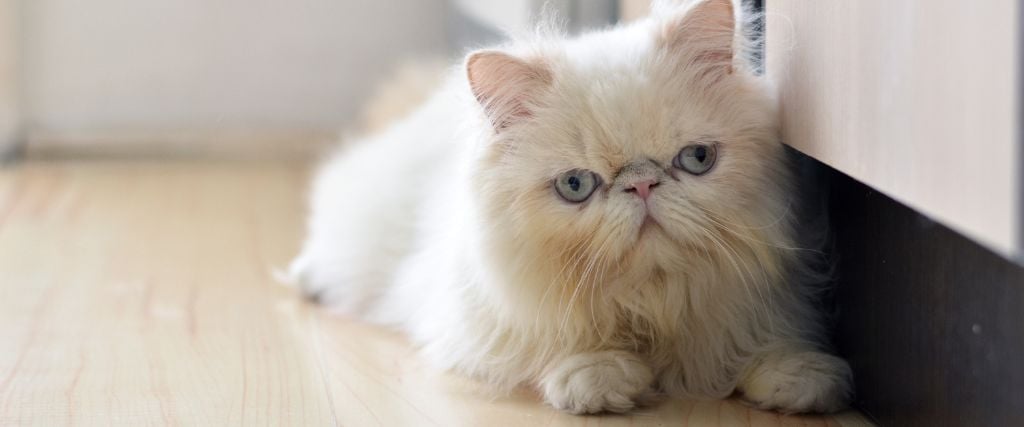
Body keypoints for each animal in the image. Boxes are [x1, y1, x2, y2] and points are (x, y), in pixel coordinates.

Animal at [288, 0, 847, 413]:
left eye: (696, 159)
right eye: (576, 185)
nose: (642, 186)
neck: (652, 304)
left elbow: (760, 341)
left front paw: (800, 379)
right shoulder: (486, 313)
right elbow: (562, 336)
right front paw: (600, 379)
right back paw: (306, 281)